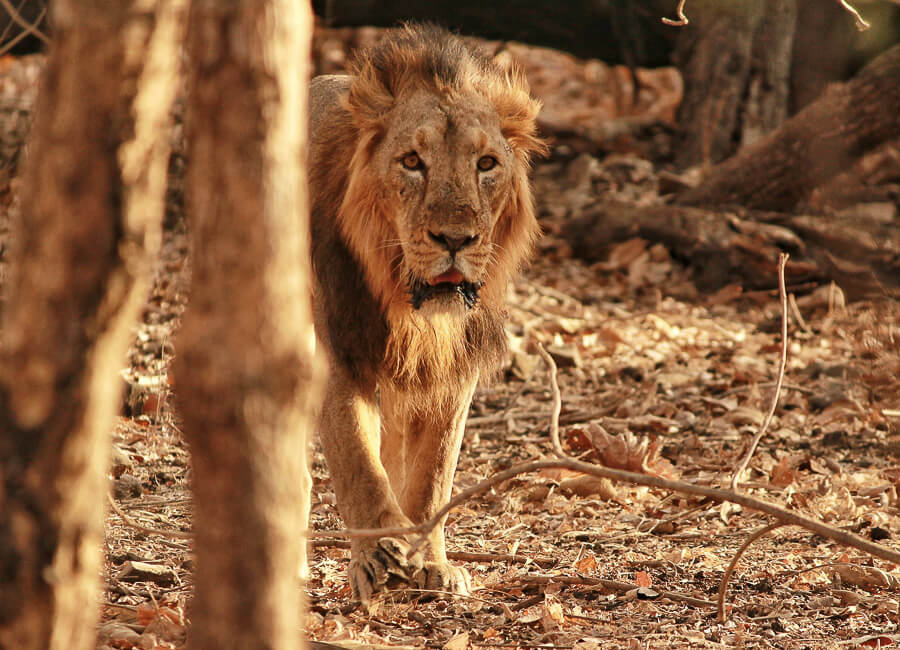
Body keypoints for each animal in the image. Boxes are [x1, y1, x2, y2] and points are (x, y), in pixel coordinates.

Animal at [308, 24, 546, 603]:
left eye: (487, 164)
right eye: (412, 162)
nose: (455, 240)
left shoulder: (453, 370)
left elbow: (433, 474)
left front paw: (430, 562)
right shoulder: (340, 350)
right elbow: (357, 460)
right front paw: (378, 557)